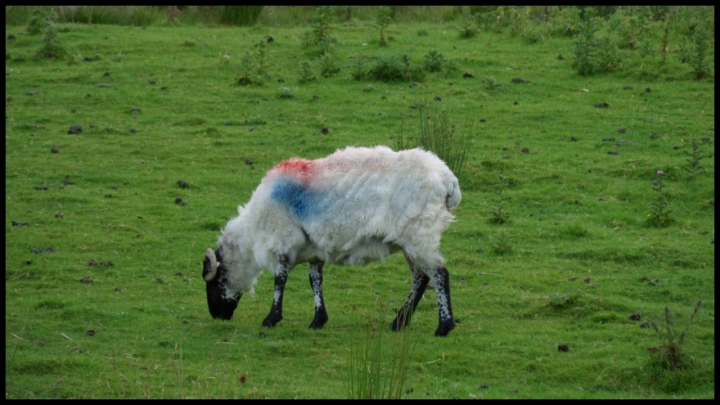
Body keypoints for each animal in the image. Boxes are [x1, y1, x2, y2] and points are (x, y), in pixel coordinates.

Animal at [202, 145, 462, 334]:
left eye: (214, 282)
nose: (216, 315)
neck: (255, 228)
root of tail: (448, 180)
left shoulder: (284, 240)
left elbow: (280, 279)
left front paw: (271, 318)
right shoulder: (314, 250)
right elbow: (315, 280)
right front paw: (318, 319)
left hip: (420, 234)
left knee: (439, 274)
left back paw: (444, 327)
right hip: (413, 240)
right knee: (421, 277)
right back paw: (399, 323)